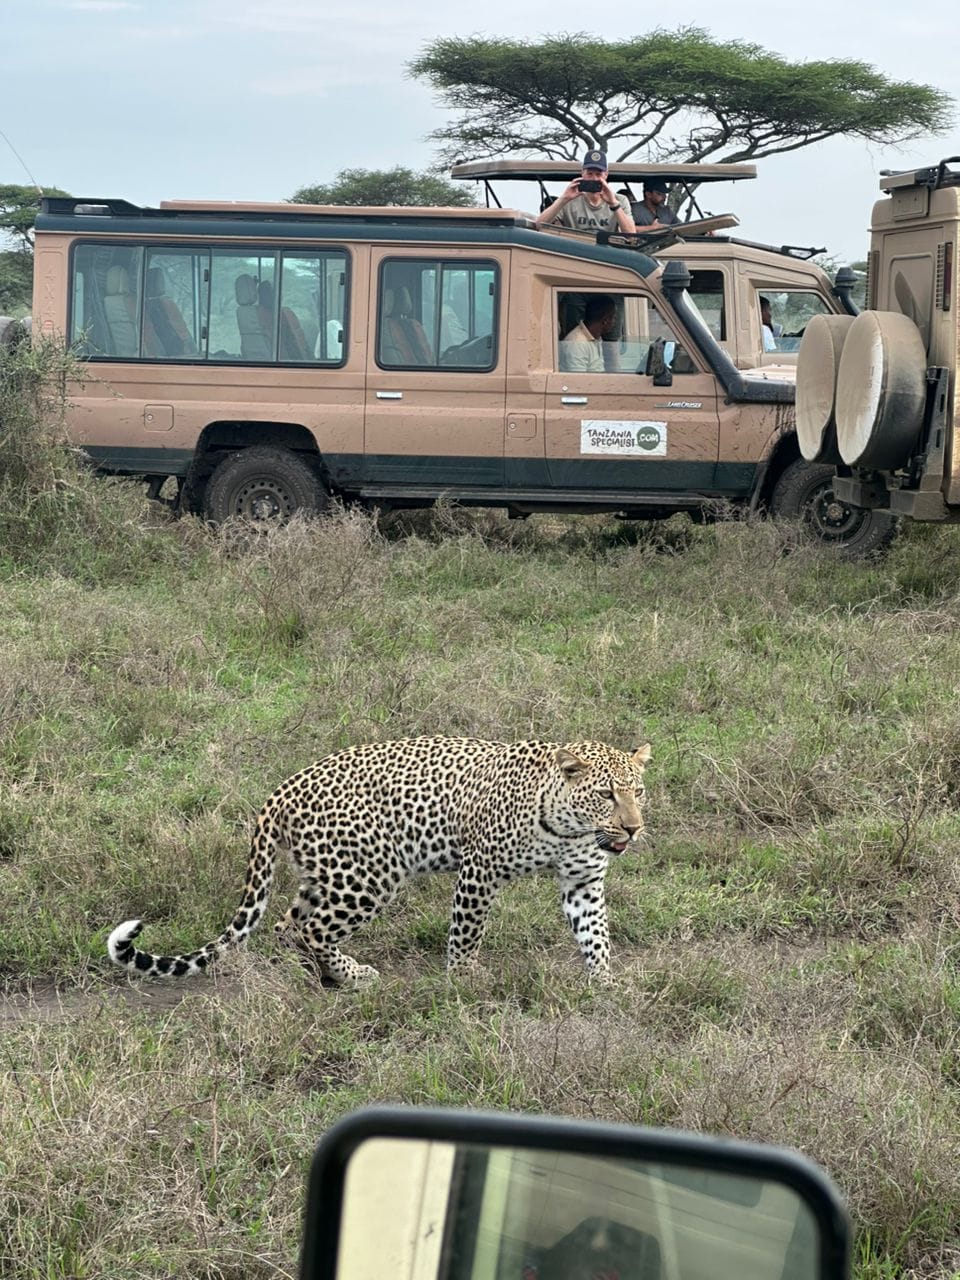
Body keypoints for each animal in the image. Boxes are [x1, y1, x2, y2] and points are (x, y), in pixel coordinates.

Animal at [106, 734, 651, 988]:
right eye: (606, 794)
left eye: (638, 791)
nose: (633, 828)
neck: (570, 826)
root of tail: (280, 791)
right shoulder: (479, 870)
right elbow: (467, 934)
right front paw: (464, 979)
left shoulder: (583, 881)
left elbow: (596, 937)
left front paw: (605, 985)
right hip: (369, 876)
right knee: (311, 930)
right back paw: (352, 976)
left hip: (326, 873)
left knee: (287, 924)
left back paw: (316, 977)